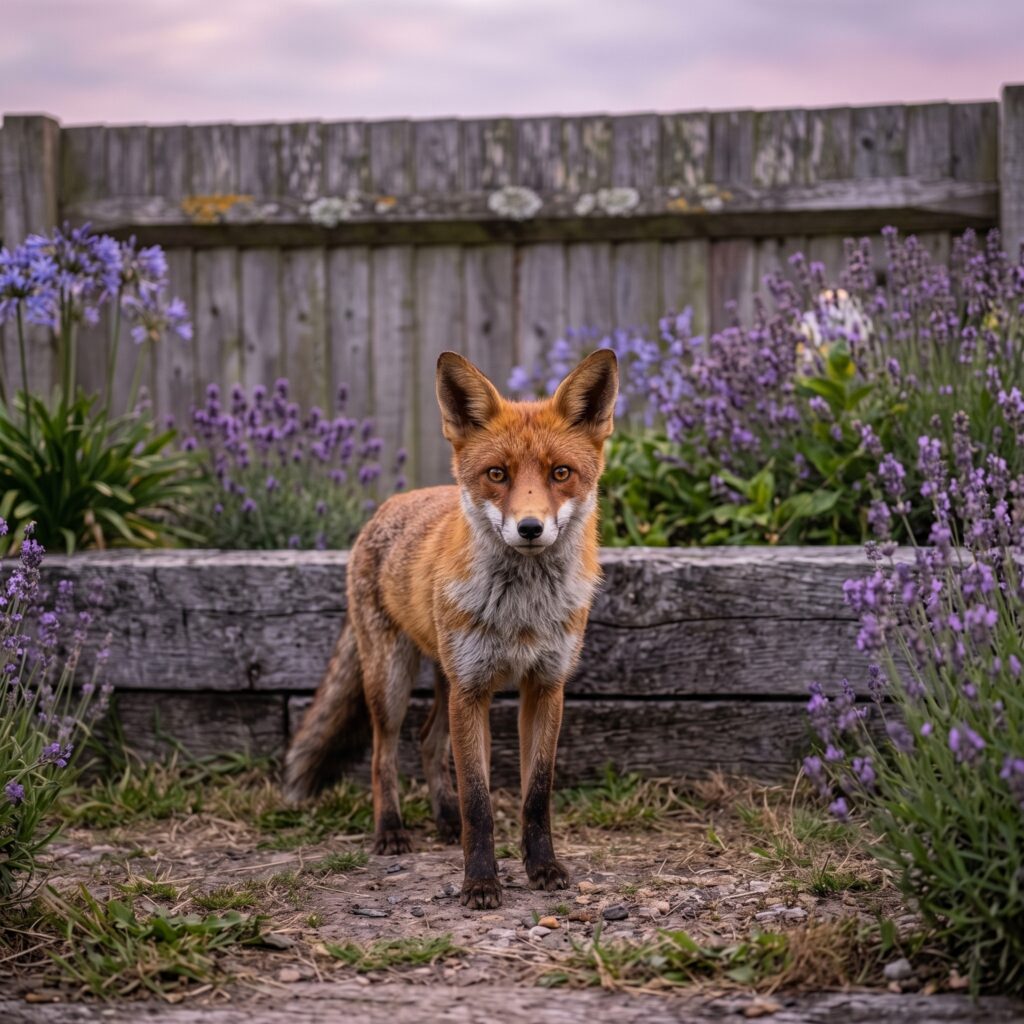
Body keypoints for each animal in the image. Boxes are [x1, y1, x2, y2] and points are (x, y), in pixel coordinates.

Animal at [282, 348, 618, 909]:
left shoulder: (545, 686)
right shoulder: (473, 689)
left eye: (561, 473)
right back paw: (391, 831)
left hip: (443, 675)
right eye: (497, 473)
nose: (530, 528)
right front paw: (480, 882)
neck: (521, 613)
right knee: (384, 755)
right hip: (393, 681)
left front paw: (542, 868)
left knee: (428, 741)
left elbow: (536, 794)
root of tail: (389, 506)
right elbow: (478, 803)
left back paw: (443, 820)